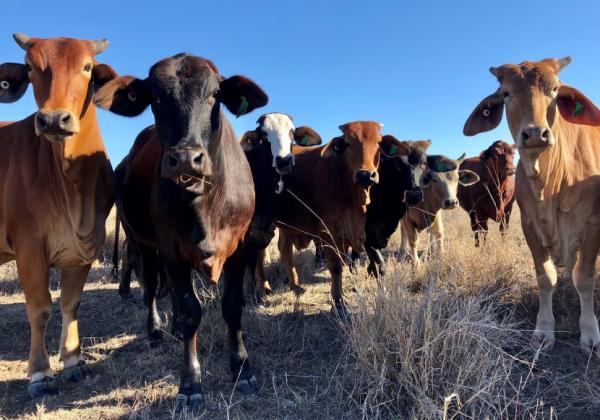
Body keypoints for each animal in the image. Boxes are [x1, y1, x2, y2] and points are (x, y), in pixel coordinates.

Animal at [0, 33, 118, 398]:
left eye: (87, 67)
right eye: (29, 67)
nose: (53, 119)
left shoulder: (85, 246)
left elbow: (70, 302)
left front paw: (72, 362)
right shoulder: (28, 247)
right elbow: (39, 308)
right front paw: (39, 374)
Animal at [256, 121, 380, 312]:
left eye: (379, 142)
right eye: (347, 143)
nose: (365, 174)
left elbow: (343, 261)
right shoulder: (328, 230)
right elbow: (335, 266)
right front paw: (339, 301)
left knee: (283, 248)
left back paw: (295, 285)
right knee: (259, 254)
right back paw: (263, 289)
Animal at [464, 57, 600, 354]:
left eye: (555, 89)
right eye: (506, 93)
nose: (535, 133)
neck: (549, 186)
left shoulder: (593, 226)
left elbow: (584, 279)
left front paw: (590, 332)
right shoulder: (528, 226)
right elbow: (545, 278)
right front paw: (544, 330)